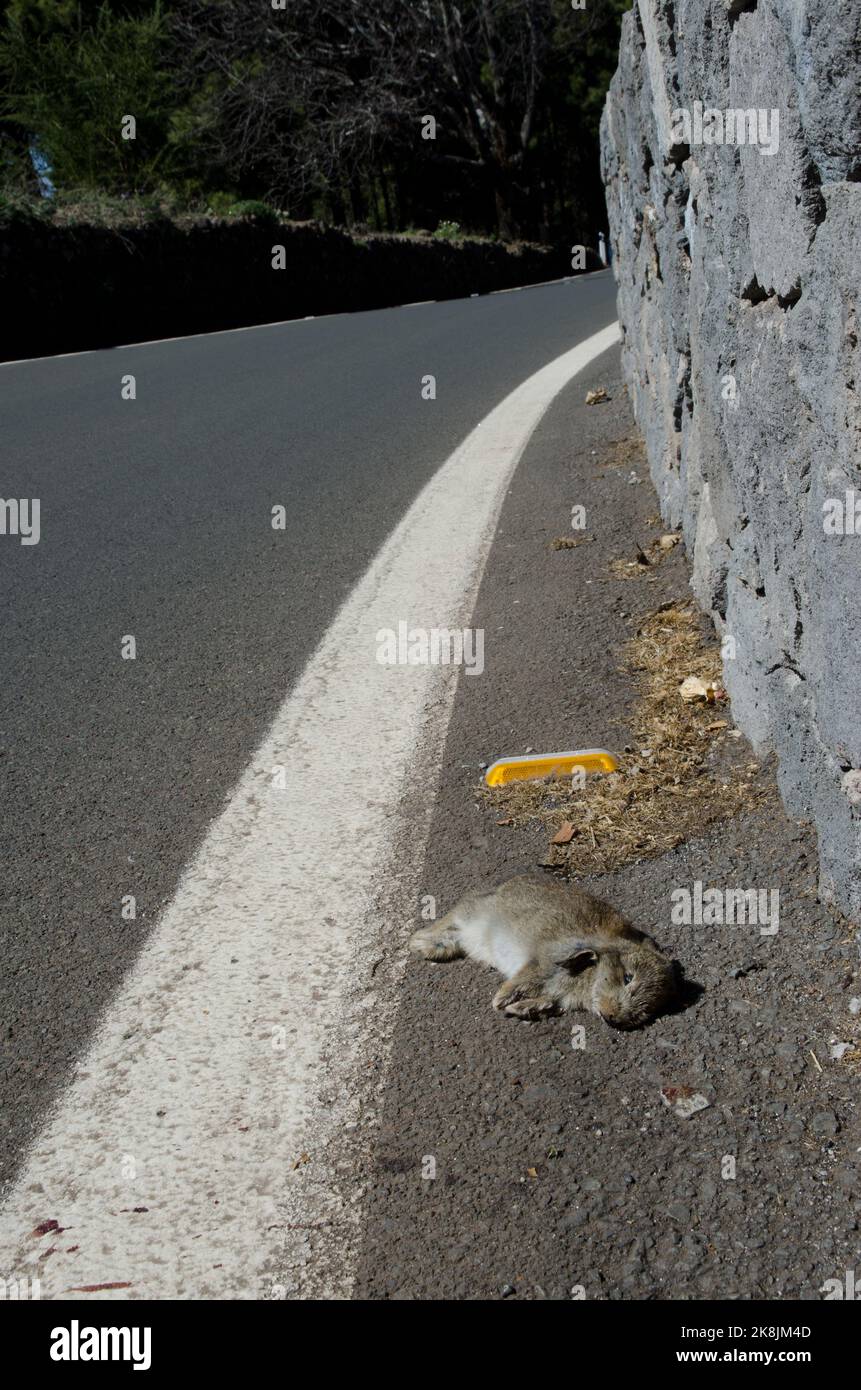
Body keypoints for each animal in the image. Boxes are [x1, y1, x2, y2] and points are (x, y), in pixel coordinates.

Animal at [409, 874, 677, 1029]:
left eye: (646, 1010)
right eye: (627, 977)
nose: (612, 1017)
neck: (590, 976)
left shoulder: (556, 995)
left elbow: (543, 1001)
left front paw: (522, 1009)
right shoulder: (543, 963)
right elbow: (521, 981)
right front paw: (499, 1001)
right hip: (475, 913)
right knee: (453, 915)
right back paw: (419, 941)